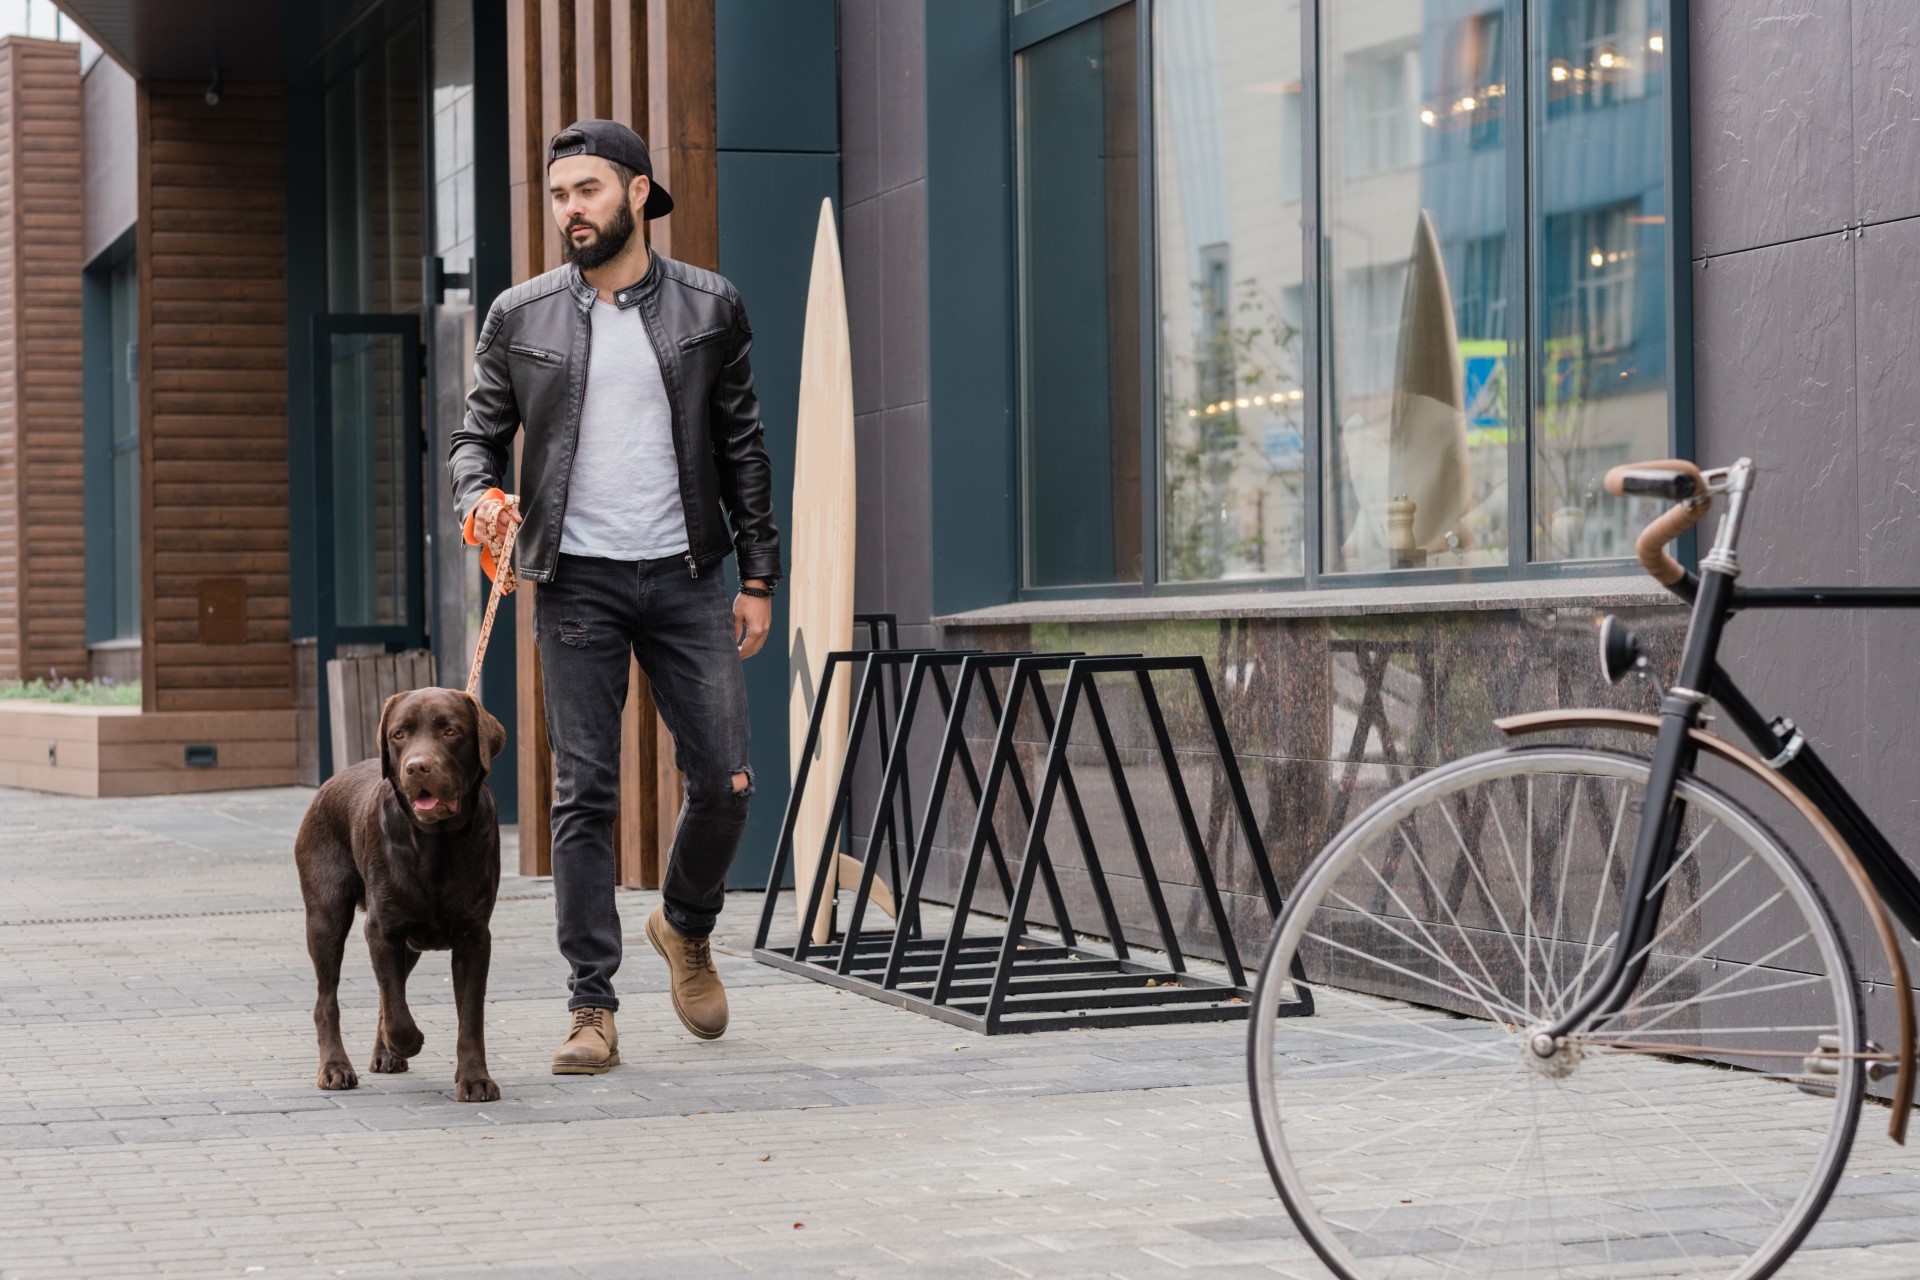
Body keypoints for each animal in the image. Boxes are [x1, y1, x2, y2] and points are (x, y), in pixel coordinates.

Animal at [293, 690, 510, 1105]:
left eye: (450, 731)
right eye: (398, 734)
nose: (416, 767)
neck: (437, 845)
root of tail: (325, 786)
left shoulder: (475, 937)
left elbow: (469, 1016)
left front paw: (474, 1078)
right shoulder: (382, 930)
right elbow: (397, 1013)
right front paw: (408, 1042)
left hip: (410, 944)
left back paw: (382, 1054)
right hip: (326, 916)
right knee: (327, 1000)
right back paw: (336, 1067)